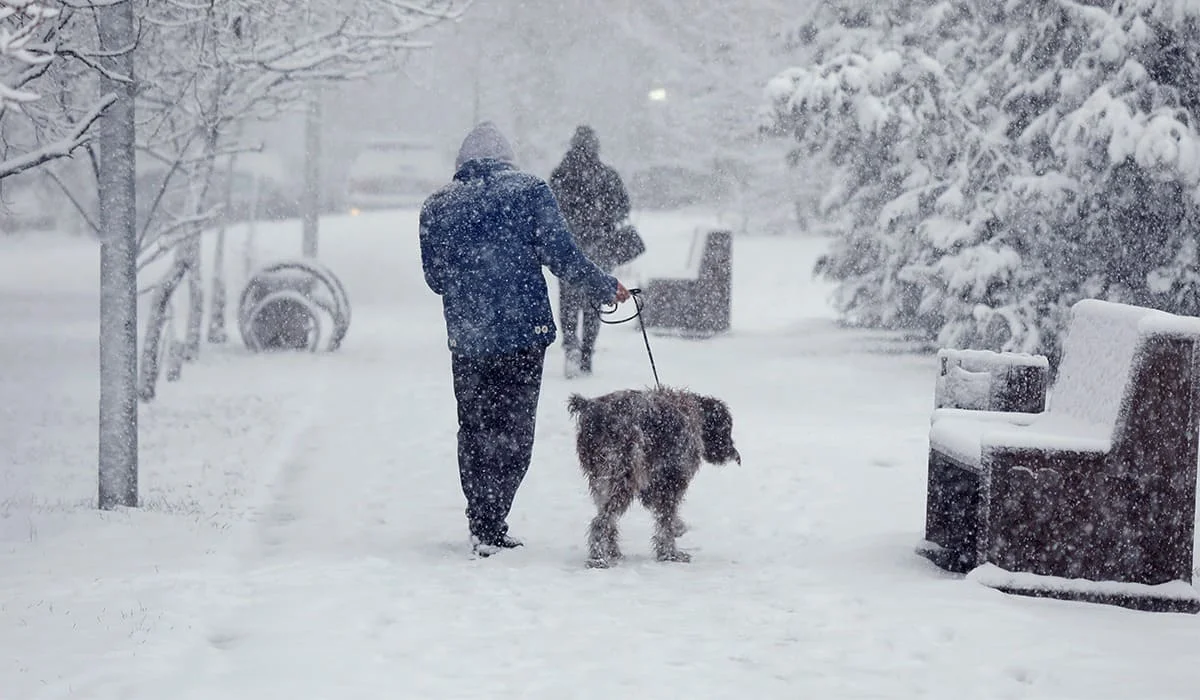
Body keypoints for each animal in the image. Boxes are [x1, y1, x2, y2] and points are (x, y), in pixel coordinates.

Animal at [564, 389, 739, 569]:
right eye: (726, 429)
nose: (735, 454)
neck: (694, 415)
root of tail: (591, 408)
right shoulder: (670, 484)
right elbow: (665, 522)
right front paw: (670, 553)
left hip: (601, 480)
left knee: (607, 519)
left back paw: (613, 552)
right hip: (623, 478)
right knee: (601, 521)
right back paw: (598, 558)